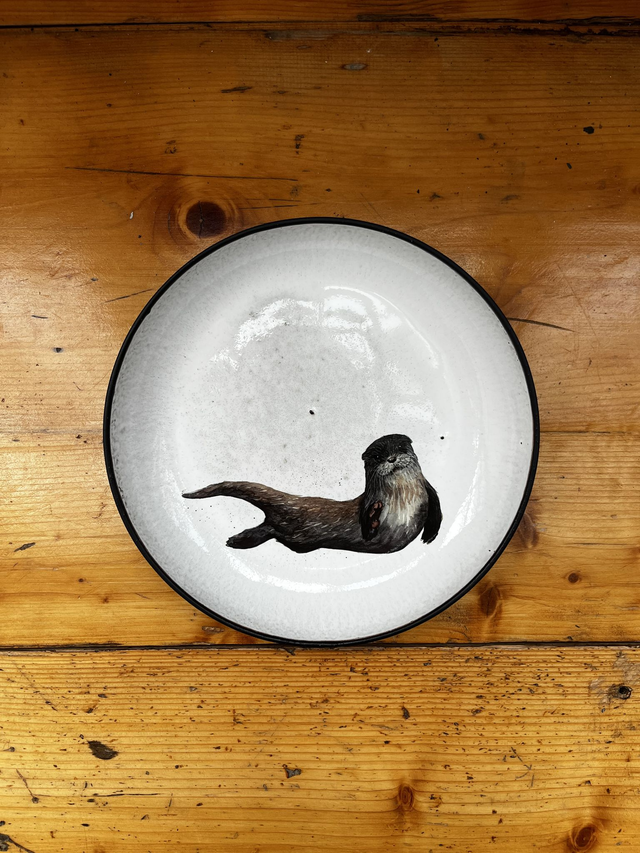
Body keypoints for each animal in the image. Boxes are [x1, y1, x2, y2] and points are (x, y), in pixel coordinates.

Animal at [182, 434, 442, 555]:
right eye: (378, 456)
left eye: (400, 447)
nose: (392, 458)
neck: (403, 496)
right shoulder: (369, 501)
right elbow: (367, 529)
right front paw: (374, 516)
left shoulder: (429, 490)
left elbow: (437, 510)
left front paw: (429, 535)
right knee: (272, 528)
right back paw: (238, 540)